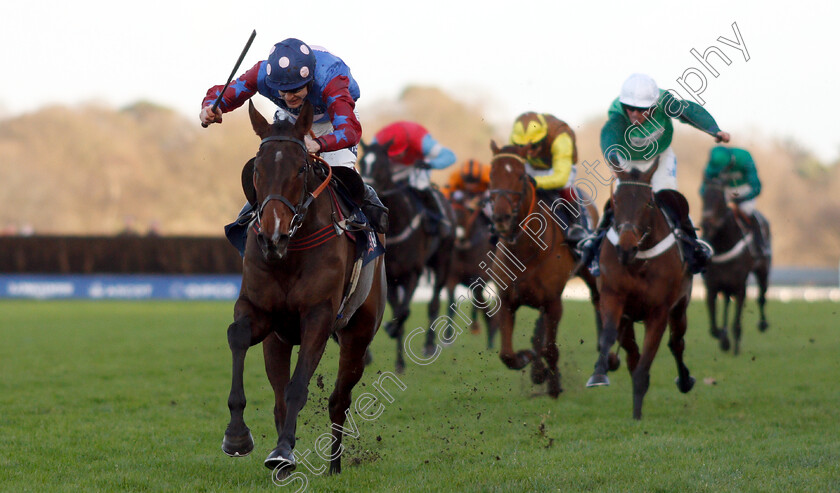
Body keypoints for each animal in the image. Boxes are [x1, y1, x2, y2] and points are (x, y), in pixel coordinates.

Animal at [218, 100, 386, 476]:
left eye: (300, 169)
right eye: (256, 170)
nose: (272, 235)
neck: (289, 253)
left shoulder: (318, 316)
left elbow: (299, 387)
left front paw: (283, 450)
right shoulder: (260, 311)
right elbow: (237, 336)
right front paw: (237, 436)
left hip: (358, 334)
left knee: (339, 399)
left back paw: (334, 466)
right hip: (277, 341)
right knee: (279, 398)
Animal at [358, 140, 456, 370]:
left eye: (381, 165)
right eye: (362, 162)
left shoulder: (413, 272)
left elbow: (403, 312)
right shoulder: (391, 276)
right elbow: (396, 313)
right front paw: (399, 361)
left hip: (442, 261)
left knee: (434, 303)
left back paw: (429, 344)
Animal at [486, 142, 604, 396]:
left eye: (520, 176)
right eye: (491, 175)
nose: (501, 217)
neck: (525, 252)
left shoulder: (553, 302)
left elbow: (550, 348)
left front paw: (554, 385)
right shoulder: (507, 300)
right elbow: (507, 354)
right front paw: (528, 361)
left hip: (590, 271)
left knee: (598, 300)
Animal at [584, 160, 696, 418]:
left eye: (648, 203)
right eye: (616, 201)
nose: (626, 248)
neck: (638, 261)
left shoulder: (659, 311)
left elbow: (646, 363)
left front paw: (637, 416)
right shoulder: (612, 297)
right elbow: (608, 335)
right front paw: (599, 374)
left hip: (680, 307)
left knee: (677, 343)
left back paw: (685, 381)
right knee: (632, 352)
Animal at [700, 177, 772, 354]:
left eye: (719, 199)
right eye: (704, 197)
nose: (706, 224)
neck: (724, 245)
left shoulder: (740, 287)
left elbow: (737, 322)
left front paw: (735, 345)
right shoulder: (712, 287)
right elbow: (713, 328)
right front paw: (724, 340)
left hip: (763, 269)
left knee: (762, 296)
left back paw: (763, 324)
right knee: (726, 301)